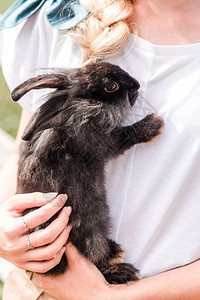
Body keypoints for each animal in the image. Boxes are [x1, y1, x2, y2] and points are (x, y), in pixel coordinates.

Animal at [11, 61, 163, 284]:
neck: (81, 109)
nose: (136, 84)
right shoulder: (101, 141)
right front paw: (153, 124)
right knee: (95, 261)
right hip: (94, 225)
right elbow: (125, 136)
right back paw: (120, 268)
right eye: (111, 86)